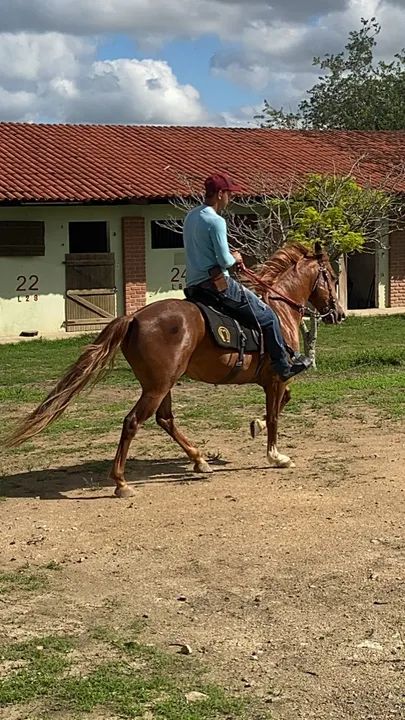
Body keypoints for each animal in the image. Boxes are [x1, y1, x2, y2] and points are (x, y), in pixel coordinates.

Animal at [6, 242, 345, 498]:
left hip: (162, 383)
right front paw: (276, 455)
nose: (339, 314)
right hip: (157, 386)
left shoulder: (273, 380)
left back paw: (199, 460)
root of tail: (135, 317)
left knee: (165, 419)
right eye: (330, 275)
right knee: (133, 422)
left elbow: (283, 403)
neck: (278, 308)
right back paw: (121, 482)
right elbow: (275, 415)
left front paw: (255, 425)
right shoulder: (276, 377)